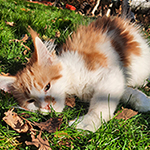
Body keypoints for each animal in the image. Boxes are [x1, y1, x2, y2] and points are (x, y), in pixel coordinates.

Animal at [0, 15, 150, 132]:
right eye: (31, 101)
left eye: (47, 86)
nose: (45, 106)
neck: (72, 81)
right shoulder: (113, 77)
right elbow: (120, 91)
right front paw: (144, 100)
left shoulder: (109, 73)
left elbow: (102, 102)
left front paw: (87, 122)